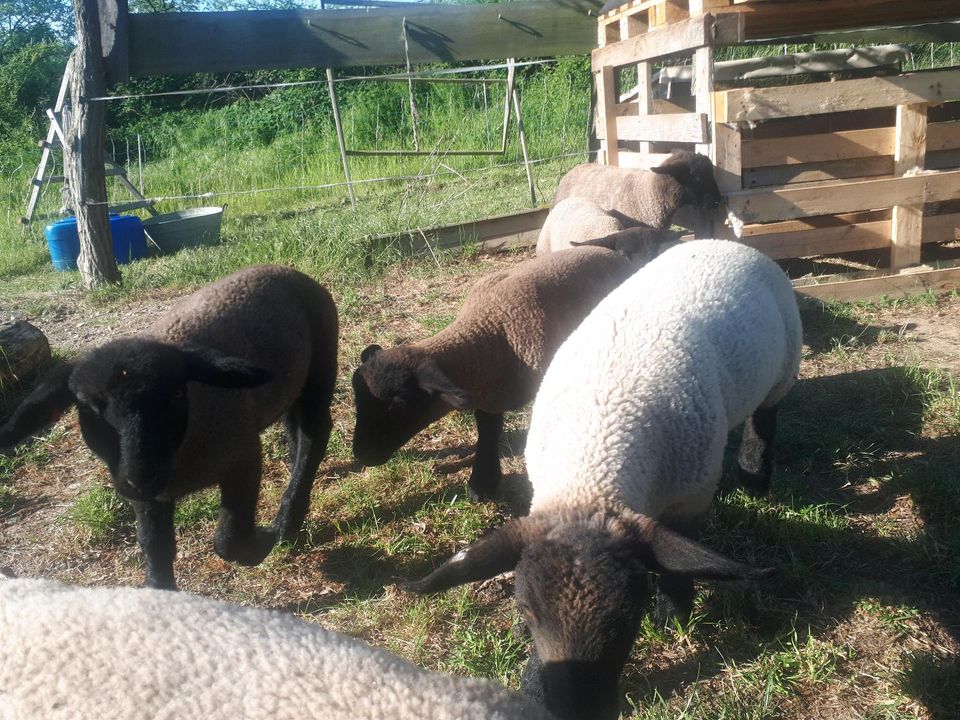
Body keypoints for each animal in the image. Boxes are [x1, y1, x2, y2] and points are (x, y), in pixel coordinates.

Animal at [0, 264, 338, 592]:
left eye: (176, 393)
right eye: (87, 407)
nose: (141, 476)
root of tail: (286, 269)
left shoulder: (242, 456)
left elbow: (227, 539)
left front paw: (262, 543)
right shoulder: (144, 496)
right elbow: (155, 546)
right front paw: (160, 589)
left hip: (320, 368)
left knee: (313, 436)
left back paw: (286, 522)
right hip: (291, 385)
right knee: (296, 432)